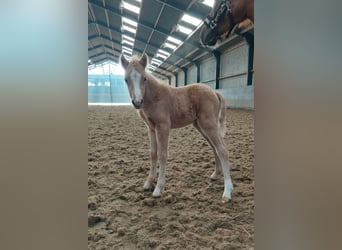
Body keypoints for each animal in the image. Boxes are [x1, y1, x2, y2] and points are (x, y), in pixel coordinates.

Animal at [120, 53, 235, 203]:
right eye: (126, 79)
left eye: (144, 78)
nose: (138, 102)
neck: (155, 97)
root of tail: (215, 92)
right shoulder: (151, 128)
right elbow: (153, 154)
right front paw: (148, 183)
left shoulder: (163, 126)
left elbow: (162, 154)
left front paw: (158, 189)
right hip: (201, 126)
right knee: (214, 147)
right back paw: (215, 174)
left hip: (209, 124)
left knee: (222, 149)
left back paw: (227, 191)